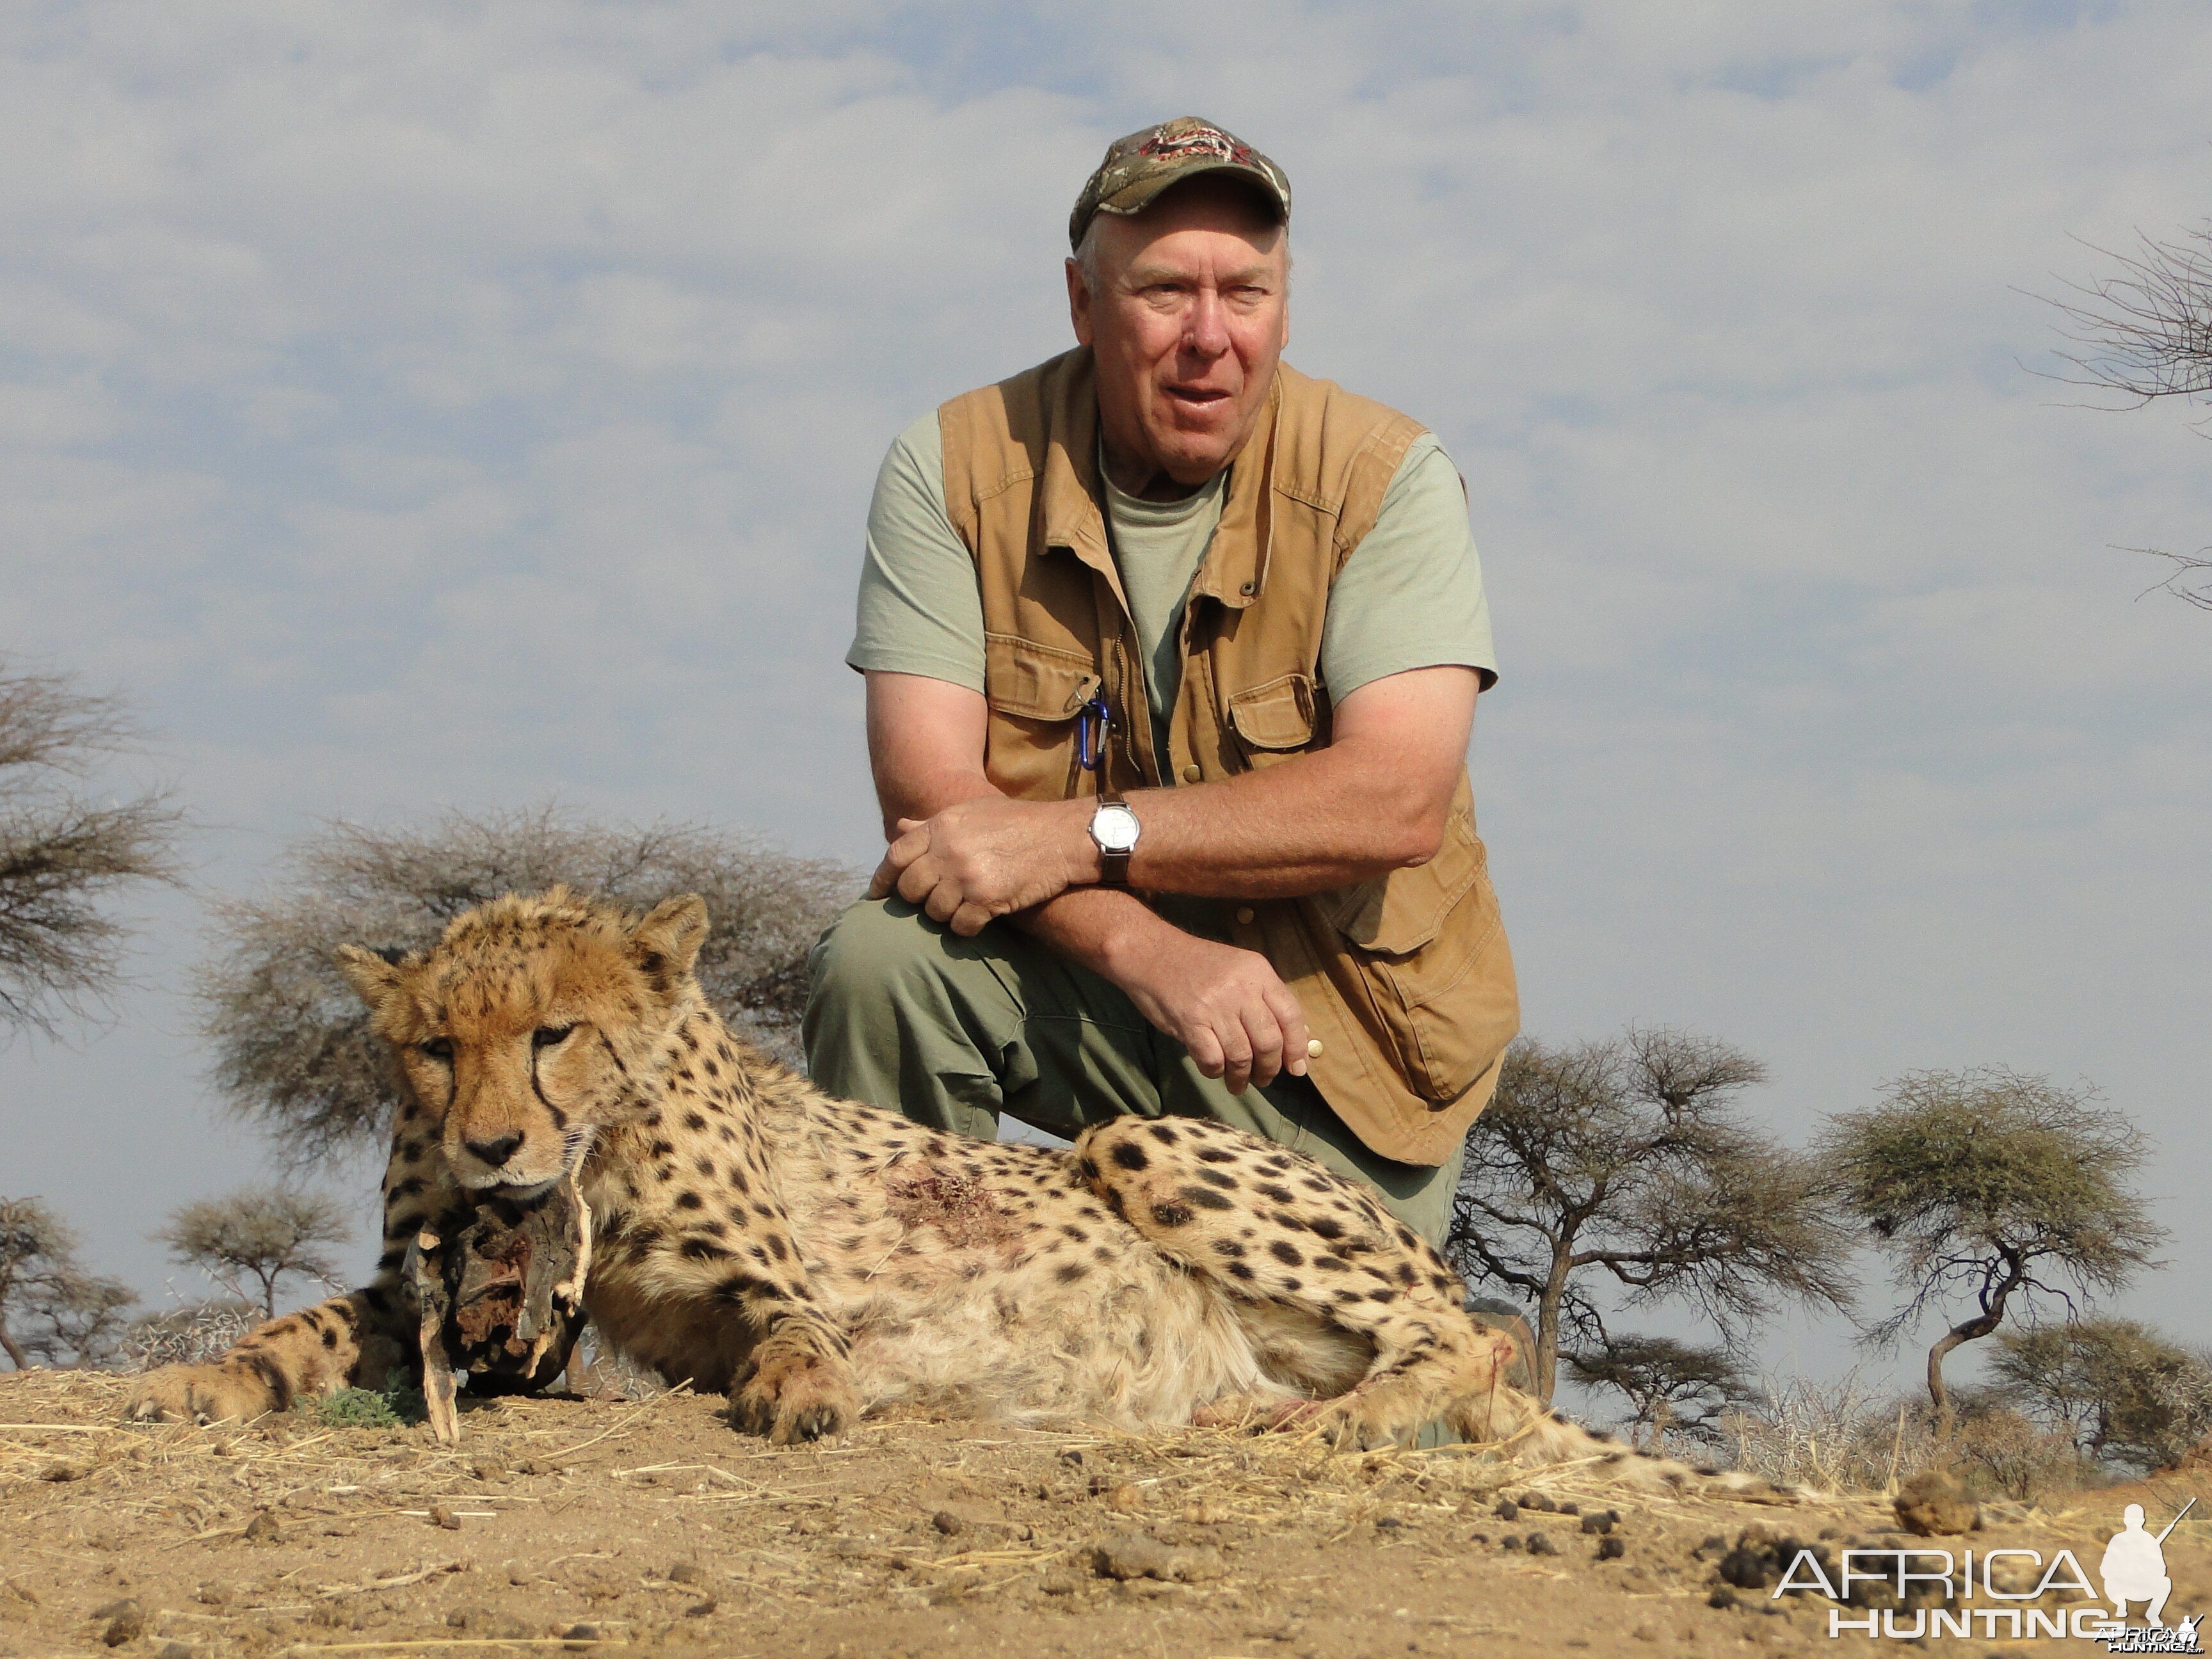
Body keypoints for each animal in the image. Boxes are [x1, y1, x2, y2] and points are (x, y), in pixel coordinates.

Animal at [125, 889, 1760, 1486]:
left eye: (550, 1034)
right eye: (430, 1047)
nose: (488, 1149)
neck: (605, 1149)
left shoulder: (766, 1276)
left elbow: (796, 1330)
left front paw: (804, 1394)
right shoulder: (459, 1288)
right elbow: (307, 1329)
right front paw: (197, 1377)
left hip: (1140, 1140)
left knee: (1461, 1330)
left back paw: (1335, 1422)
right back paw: (1250, 1411)